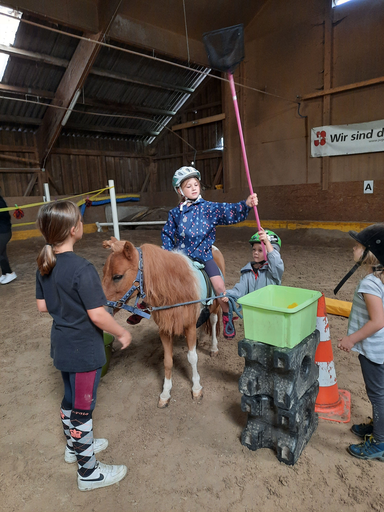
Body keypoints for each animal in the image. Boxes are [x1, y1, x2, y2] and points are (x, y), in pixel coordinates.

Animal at [101, 238, 225, 410]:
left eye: (117, 276)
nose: (100, 308)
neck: (176, 289)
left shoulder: (189, 327)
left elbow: (192, 357)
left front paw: (196, 388)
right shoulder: (165, 330)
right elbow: (167, 361)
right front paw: (165, 394)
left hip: (215, 305)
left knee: (213, 321)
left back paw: (213, 348)